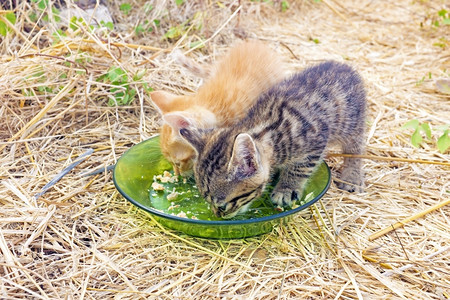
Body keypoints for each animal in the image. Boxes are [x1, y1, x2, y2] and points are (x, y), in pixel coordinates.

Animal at [169, 61, 366, 218]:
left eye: (223, 206)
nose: (217, 215)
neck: (263, 128)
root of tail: (344, 66)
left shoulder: (314, 141)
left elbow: (300, 168)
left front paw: (286, 188)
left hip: (352, 125)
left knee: (356, 149)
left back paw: (352, 175)